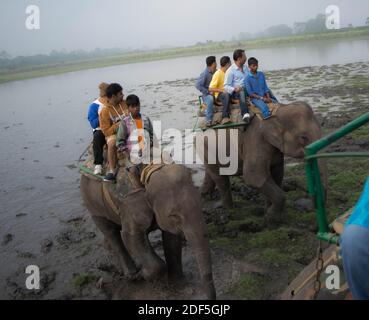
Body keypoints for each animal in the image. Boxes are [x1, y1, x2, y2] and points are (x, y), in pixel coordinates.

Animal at [79, 164, 214, 298]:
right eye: (174, 216)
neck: (149, 172)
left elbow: (172, 239)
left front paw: (178, 285)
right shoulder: (130, 204)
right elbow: (130, 235)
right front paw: (142, 275)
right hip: (93, 203)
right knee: (111, 232)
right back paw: (131, 274)